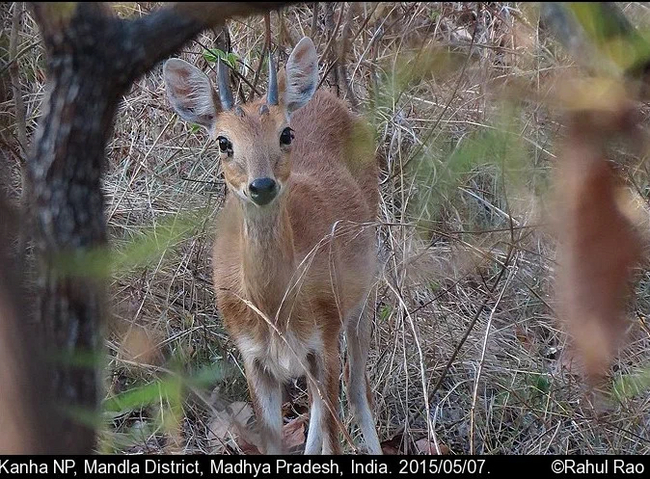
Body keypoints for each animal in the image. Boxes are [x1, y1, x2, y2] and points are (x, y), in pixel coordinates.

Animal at [162, 36, 382, 454]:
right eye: (223, 142)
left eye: (285, 134)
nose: (261, 185)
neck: (275, 311)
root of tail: (325, 95)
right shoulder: (253, 357)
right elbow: (274, 442)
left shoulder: (325, 337)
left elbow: (334, 436)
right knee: (319, 405)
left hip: (362, 292)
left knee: (357, 391)